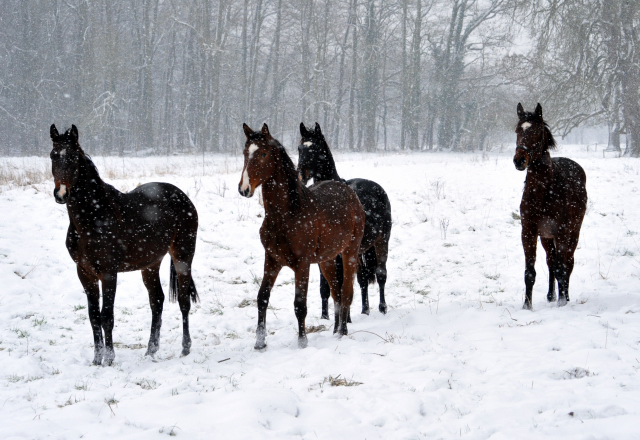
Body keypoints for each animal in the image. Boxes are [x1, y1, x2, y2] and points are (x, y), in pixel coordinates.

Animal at [49, 124, 199, 364]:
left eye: (72, 157)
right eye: (53, 156)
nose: (61, 193)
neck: (93, 216)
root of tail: (183, 198)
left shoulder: (109, 273)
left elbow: (106, 316)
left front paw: (109, 359)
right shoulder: (85, 273)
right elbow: (93, 317)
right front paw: (96, 360)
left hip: (183, 255)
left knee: (184, 301)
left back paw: (185, 348)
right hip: (151, 263)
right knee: (157, 301)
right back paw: (151, 350)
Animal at [236, 122, 364, 348]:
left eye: (263, 153)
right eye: (245, 153)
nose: (244, 189)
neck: (287, 214)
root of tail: (351, 194)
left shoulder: (302, 264)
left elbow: (299, 304)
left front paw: (302, 342)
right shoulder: (272, 260)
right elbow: (262, 297)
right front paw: (260, 343)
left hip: (349, 253)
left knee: (347, 292)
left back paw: (342, 332)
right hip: (327, 260)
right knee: (336, 293)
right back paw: (335, 331)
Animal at [298, 122, 392, 318]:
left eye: (316, 148)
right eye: (299, 148)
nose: (301, 175)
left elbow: (341, 285)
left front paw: (343, 318)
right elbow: (326, 287)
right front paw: (326, 316)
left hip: (382, 240)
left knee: (381, 274)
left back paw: (382, 307)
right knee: (362, 278)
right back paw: (365, 310)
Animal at [512, 103, 588, 310]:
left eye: (537, 131)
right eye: (517, 130)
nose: (519, 160)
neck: (543, 193)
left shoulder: (562, 232)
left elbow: (563, 268)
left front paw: (562, 302)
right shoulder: (529, 232)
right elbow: (530, 272)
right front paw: (527, 305)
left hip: (573, 232)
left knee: (567, 263)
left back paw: (565, 296)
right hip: (547, 237)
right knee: (551, 262)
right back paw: (551, 295)